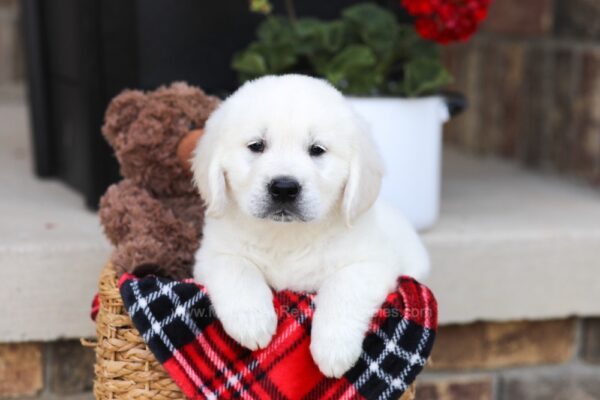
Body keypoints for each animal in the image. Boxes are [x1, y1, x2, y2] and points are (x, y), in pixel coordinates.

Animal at [190, 75, 428, 378]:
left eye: (317, 150)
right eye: (256, 145)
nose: (283, 188)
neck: (286, 236)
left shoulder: (373, 262)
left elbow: (343, 287)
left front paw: (333, 350)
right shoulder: (212, 254)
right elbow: (237, 268)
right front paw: (252, 321)